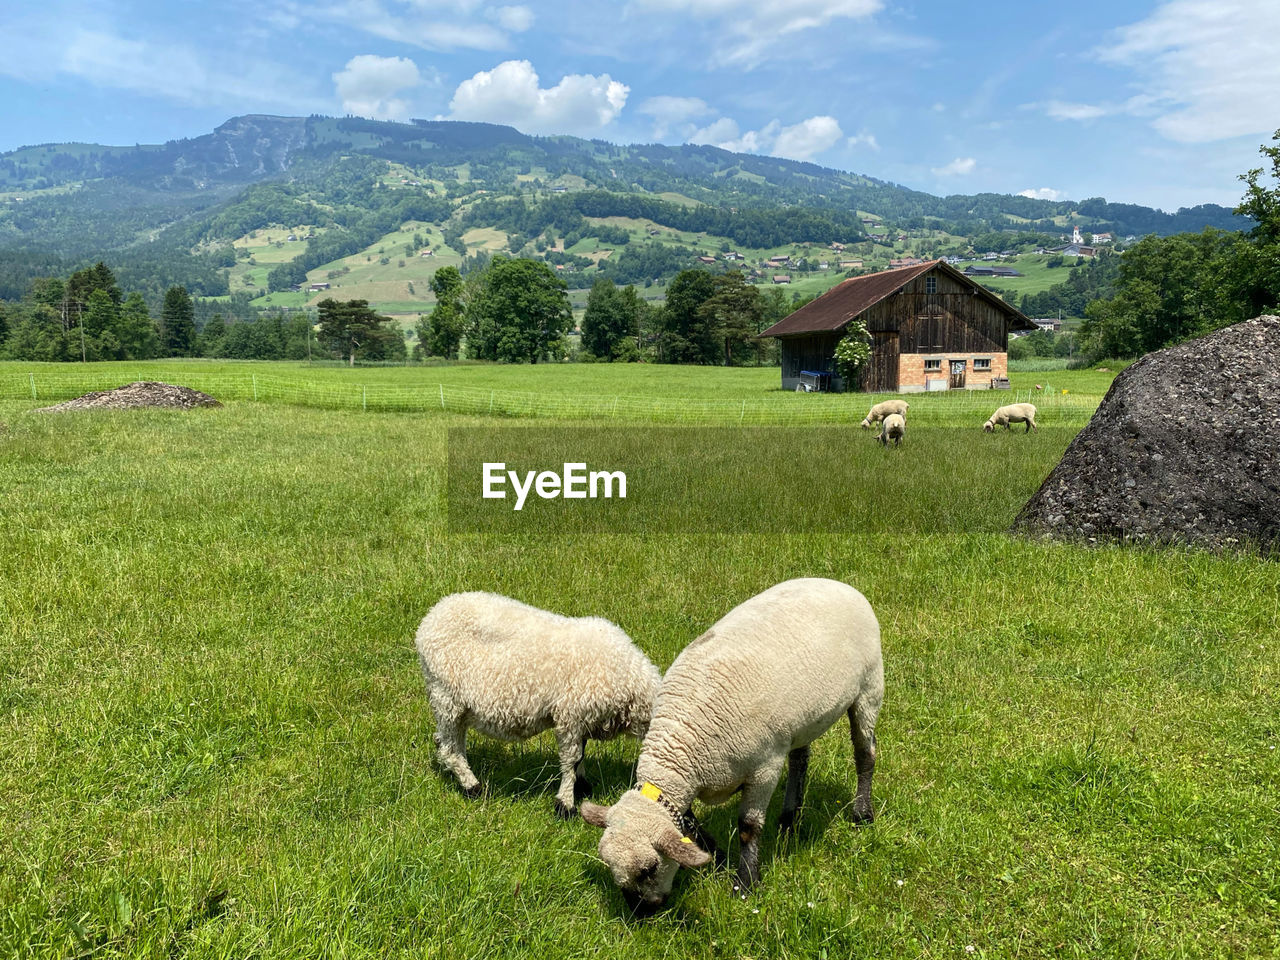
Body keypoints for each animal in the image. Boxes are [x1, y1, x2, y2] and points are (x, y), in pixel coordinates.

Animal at [417, 593, 665, 819]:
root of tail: (429, 619)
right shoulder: (571, 715)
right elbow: (572, 759)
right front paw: (565, 805)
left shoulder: (583, 719)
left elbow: (582, 754)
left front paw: (582, 786)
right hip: (445, 695)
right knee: (449, 749)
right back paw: (473, 787)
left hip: (456, 704)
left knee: (447, 740)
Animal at [581, 578, 880, 911]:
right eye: (611, 868)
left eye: (650, 868)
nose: (641, 914)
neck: (681, 746)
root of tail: (839, 584)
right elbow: (689, 822)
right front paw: (717, 857)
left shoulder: (765, 766)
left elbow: (749, 827)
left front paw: (745, 883)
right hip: (800, 721)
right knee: (800, 760)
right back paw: (790, 819)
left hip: (869, 687)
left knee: (865, 754)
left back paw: (861, 814)